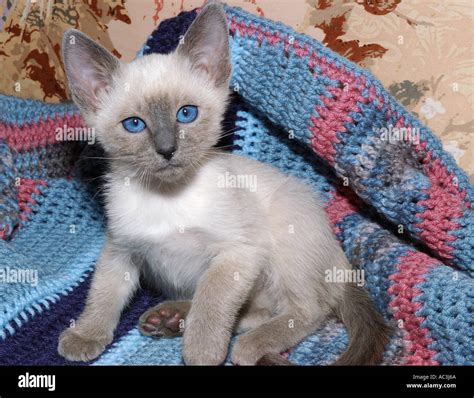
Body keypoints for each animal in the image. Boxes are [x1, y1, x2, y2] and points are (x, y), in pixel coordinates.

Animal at [57, 1, 390, 366]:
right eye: (134, 124)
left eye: (186, 114)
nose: (167, 150)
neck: (167, 196)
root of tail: (342, 265)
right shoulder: (120, 249)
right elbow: (103, 294)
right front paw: (84, 336)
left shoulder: (238, 252)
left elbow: (212, 300)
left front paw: (201, 352)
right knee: (258, 310)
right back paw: (171, 319)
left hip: (287, 237)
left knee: (307, 310)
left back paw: (245, 346)